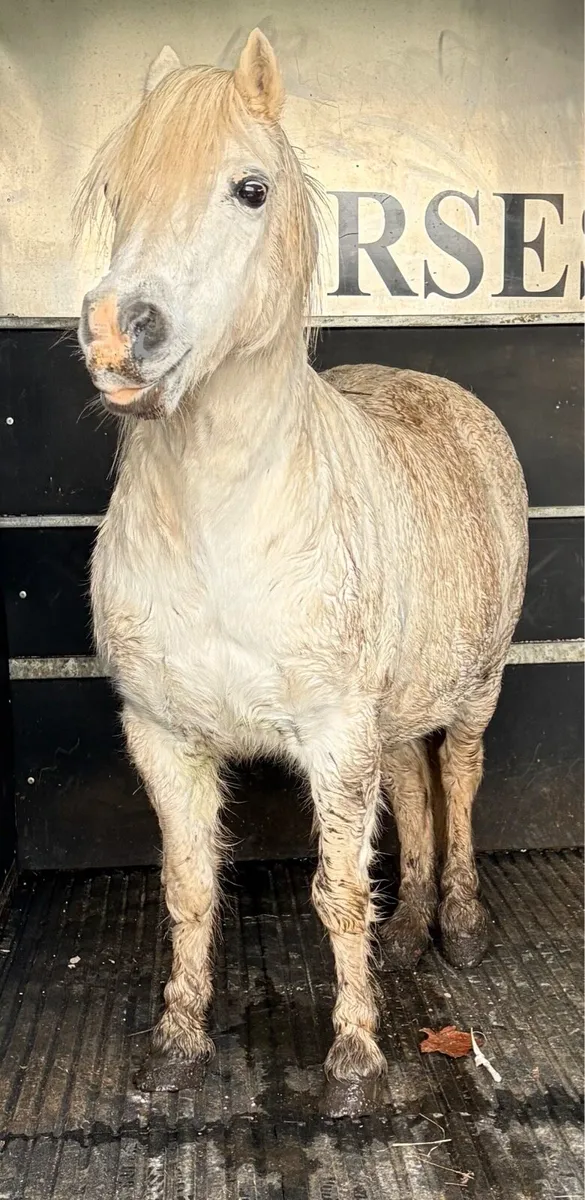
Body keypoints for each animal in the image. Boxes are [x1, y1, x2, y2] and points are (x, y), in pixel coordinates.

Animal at [76, 29, 528, 1115]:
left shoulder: (332, 738)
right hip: (393, 714)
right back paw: (408, 934)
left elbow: (336, 891)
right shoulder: (164, 736)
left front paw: (356, 1058)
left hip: (477, 687)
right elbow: (189, 887)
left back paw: (460, 924)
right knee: (412, 785)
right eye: (117, 189)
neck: (222, 534)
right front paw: (177, 1039)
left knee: (458, 778)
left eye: (250, 188)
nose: (117, 333)